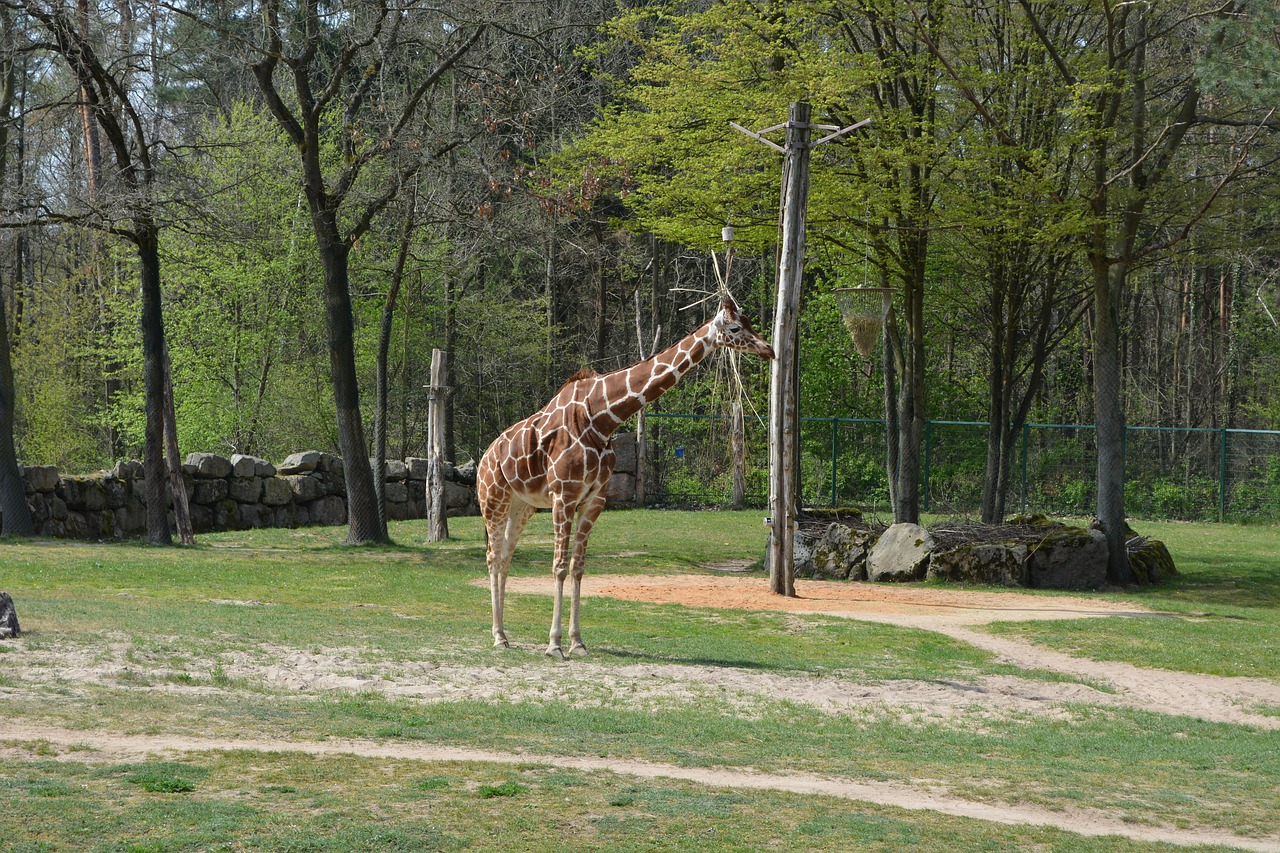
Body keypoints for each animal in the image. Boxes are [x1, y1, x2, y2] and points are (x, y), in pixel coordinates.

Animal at [478, 298, 773, 655]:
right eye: (735, 328)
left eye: (749, 321)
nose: (768, 349)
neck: (602, 417)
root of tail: (484, 456)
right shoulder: (564, 495)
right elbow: (559, 566)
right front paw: (554, 645)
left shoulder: (594, 499)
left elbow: (577, 567)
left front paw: (577, 642)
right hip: (493, 499)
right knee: (493, 556)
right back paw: (497, 636)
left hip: (522, 506)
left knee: (505, 557)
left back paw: (505, 635)